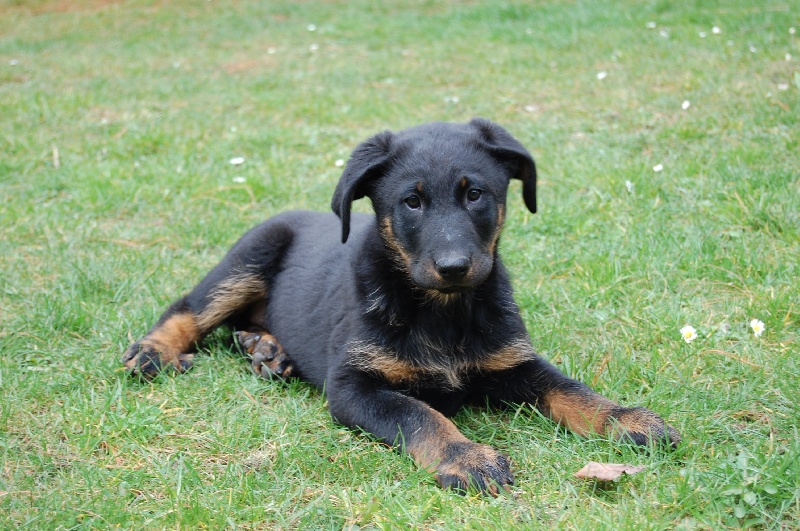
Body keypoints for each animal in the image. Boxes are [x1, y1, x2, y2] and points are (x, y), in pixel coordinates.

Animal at [122, 117, 680, 494]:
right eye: (411, 202)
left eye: (475, 194)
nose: (454, 266)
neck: (443, 310)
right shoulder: (353, 387)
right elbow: (419, 414)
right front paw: (466, 456)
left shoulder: (515, 363)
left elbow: (572, 391)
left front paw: (627, 419)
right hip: (247, 259)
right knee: (190, 308)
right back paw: (153, 351)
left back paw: (267, 350)